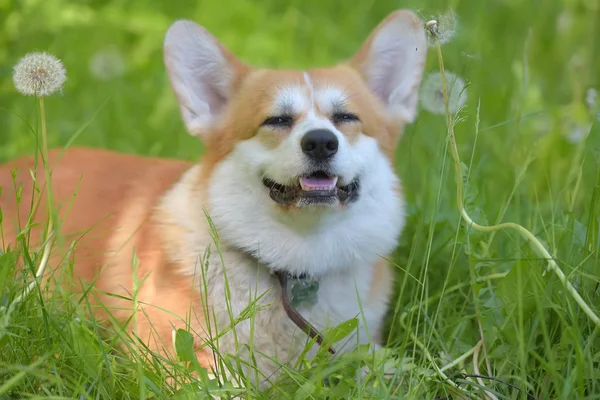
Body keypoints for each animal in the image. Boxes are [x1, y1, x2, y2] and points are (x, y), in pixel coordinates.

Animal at [0, 10, 426, 388]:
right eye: (276, 120)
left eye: (346, 118)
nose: (321, 142)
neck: (297, 262)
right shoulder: (173, 356)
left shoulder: (360, 347)